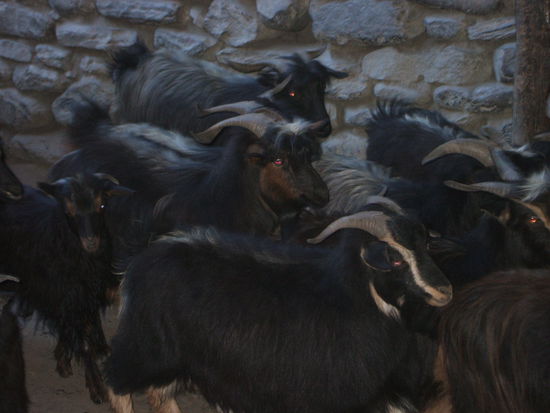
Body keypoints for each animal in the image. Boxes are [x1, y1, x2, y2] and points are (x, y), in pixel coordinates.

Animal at [0, 173, 133, 404]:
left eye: (102, 204)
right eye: (67, 210)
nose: (91, 241)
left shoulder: (82, 293)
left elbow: (86, 322)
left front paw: (67, 356)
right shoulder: (61, 292)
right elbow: (82, 337)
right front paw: (96, 387)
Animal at [105, 200, 452, 413]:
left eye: (425, 245)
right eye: (394, 258)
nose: (444, 291)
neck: (353, 296)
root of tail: (147, 250)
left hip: (176, 357)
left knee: (159, 394)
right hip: (146, 344)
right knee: (117, 383)